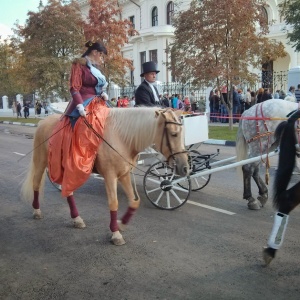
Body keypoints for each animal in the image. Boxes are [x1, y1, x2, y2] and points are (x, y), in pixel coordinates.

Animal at [21, 108, 189, 246]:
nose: (185, 167)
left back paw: (77, 219)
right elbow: (113, 203)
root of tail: (43, 121)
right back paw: (37, 211)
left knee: (68, 191)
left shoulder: (124, 175)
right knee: (36, 183)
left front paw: (121, 224)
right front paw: (115, 234)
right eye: (174, 134)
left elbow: (134, 201)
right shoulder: (110, 176)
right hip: (41, 161)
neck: (121, 137)